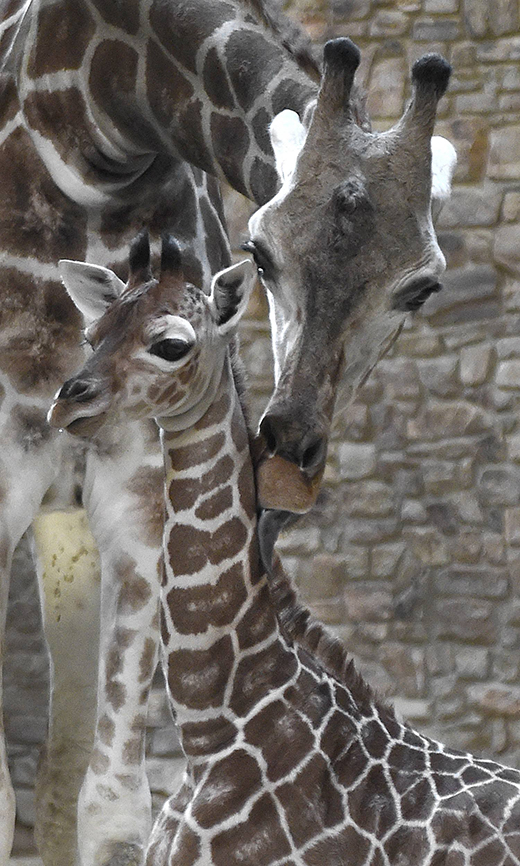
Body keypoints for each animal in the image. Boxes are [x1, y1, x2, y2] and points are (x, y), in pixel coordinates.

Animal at [0, 3, 452, 860]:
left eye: (420, 289)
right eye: (259, 250)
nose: (285, 457)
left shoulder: (139, 501)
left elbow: (113, 805)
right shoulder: (5, 475)